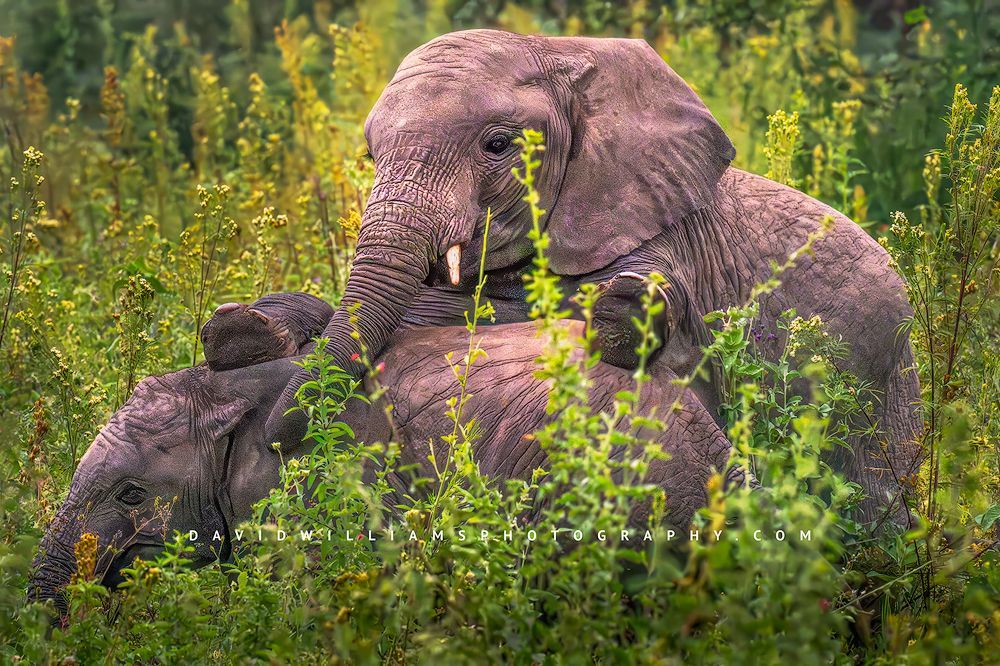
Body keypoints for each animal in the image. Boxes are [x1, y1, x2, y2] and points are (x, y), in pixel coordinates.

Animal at [266, 29, 922, 525]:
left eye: (497, 145)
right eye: (371, 155)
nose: (278, 438)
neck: (562, 53)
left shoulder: (659, 231)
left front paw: (625, 310)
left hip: (877, 386)